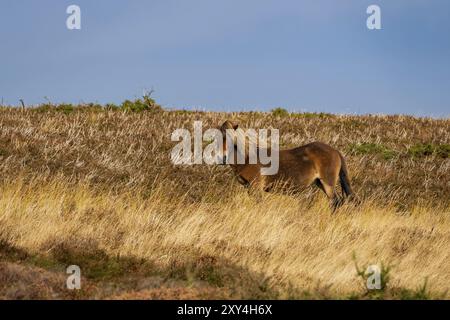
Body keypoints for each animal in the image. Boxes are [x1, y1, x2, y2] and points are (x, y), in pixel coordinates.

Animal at [218, 120, 356, 210]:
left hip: (328, 183)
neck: (247, 158)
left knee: (335, 201)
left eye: (231, 138)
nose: (221, 158)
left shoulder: (256, 187)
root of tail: (335, 151)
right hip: (320, 183)